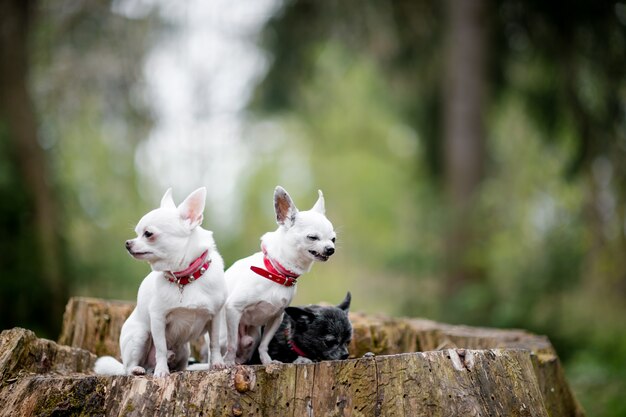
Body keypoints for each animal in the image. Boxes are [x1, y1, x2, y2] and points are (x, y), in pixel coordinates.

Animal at [94, 187, 225, 376]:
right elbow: (161, 347)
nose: (127, 243)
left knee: (181, 363)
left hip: (184, 349)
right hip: (139, 335)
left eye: (148, 234)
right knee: (130, 367)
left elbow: (214, 343)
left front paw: (217, 363)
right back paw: (139, 369)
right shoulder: (158, 318)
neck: (185, 278)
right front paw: (162, 371)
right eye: (136, 233)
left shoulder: (215, 316)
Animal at [222, 185, 334, 364]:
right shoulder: (233, 308)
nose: (331, 249)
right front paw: (228, 363)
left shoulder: (277, 317)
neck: (277, 273)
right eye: (312, 237)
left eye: (333, 239)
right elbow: (231, 344)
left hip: (254, 334)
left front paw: (267, 361)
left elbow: (264, 344)